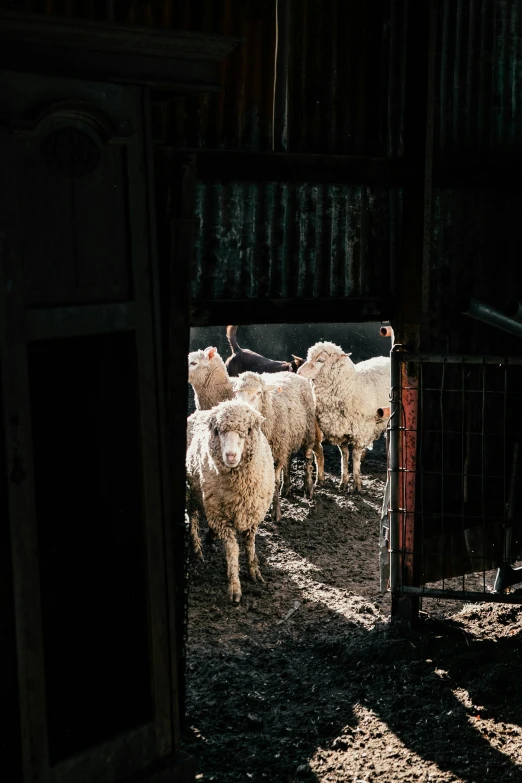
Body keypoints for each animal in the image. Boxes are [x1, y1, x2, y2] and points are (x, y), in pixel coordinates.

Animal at [187, 402, 276, 604]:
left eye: (247, 430)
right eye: (219, 431)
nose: (231, 455)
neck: (240, 487)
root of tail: (200, 412)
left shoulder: (252, 514)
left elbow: (250, 544)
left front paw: (254, 571)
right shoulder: (221, 518)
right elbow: (233, 549)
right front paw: (235, 586)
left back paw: (210, 537)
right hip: (190, 492)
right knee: (193, 517)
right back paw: (197, 549)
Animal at [233, 370, 316, 524]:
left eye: (259, 393)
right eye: (236, 393)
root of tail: (291, 372)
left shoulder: (277, 455)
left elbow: (275, 482)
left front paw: (276, 513)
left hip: (308, 433)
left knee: (308, 458)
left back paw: (309, 489)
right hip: (287, 441)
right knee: (288, 460)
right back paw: (287, 487)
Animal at [294, 342, 388, 490]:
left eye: (320, 360)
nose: (299, 372)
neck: (352, 387)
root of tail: (385, 357)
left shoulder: (360, 430)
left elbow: (355, 455)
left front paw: (356, 485)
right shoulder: (341, 430)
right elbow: (344, 455)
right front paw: (343, 483)